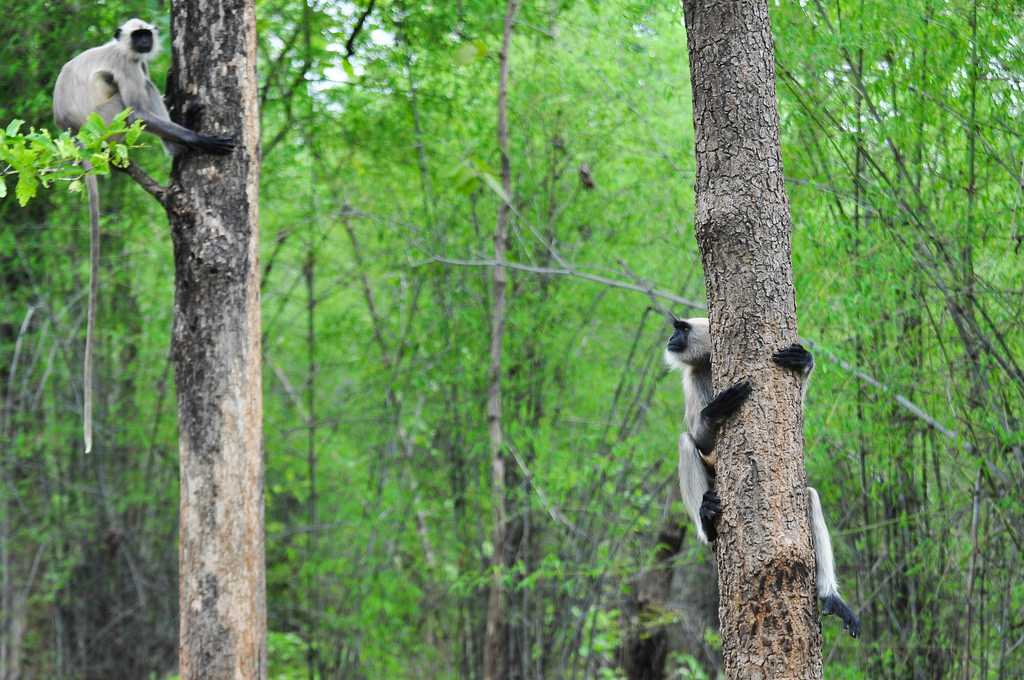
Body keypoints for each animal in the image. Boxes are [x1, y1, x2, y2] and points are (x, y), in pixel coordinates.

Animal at [54, 17, 235, 450]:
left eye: (145, 34)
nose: (143, 42)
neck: (126, 51)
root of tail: (78, 138)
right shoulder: (127, 63)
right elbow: (136, 103)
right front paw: (198, 140)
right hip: (108, 123)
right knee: (132, 99)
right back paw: (180, 149)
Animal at [667, 319, 860, 639]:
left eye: (681, 329)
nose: (670, 339)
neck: (706, 362)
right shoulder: (692, 378)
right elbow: (700, 440)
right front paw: (715, 411)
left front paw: (805, 363)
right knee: (685, 441)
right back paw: (706, 522)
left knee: (809, 495)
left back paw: (830, 596)